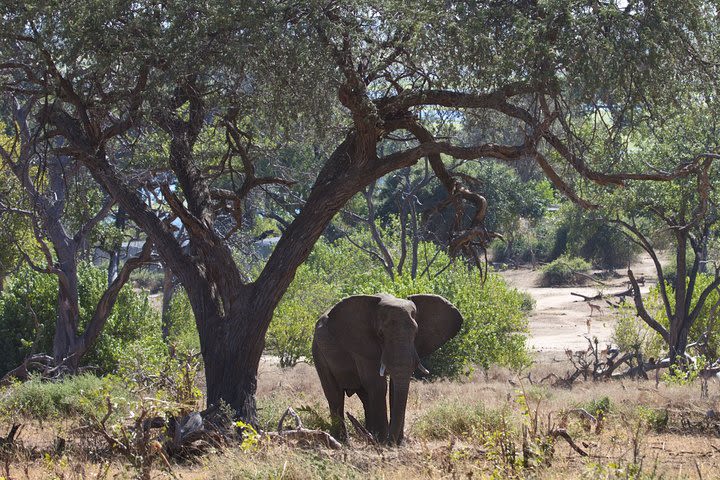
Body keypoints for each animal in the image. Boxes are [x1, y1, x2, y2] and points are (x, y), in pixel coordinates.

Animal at [312, 292, 464, 446]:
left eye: (416, 333)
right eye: (380, 334)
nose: (392, 442)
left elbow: (393, 387)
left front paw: (396, 443)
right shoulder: (363, 348)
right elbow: (378, 385)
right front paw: (383, 442)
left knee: (365, 396)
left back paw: (368, 435)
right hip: (318, 351)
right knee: (335, 395)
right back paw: (343, 441)